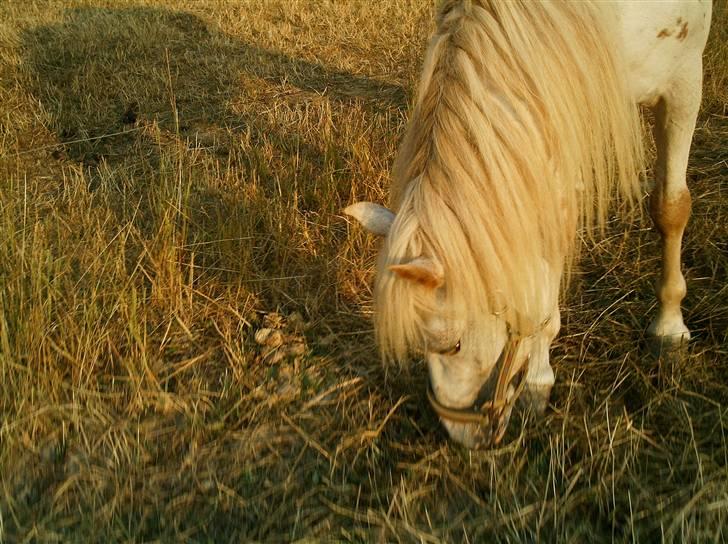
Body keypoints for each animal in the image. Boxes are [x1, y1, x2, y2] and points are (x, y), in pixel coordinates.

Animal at [346, 1, 712, 450]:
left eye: (452, 345)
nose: (461, 435)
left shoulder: (683, 81)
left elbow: (670, 208)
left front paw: (669, 329)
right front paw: (539, 377)